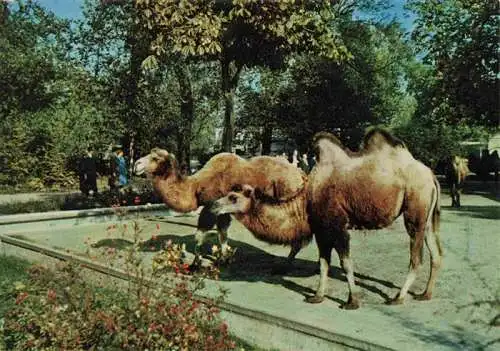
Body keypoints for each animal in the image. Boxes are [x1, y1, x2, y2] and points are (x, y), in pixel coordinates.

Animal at [304, 128, 442, 310]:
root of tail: (431, 176)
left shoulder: (337, 226)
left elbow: (345, 263)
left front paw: (352, 301)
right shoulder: (321, 230)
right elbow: (323, 263)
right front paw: (318, 296)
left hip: (416, 209)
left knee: (416, 259)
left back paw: (398, 298)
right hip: (427, 218)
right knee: (435, 253)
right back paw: (425, 294)